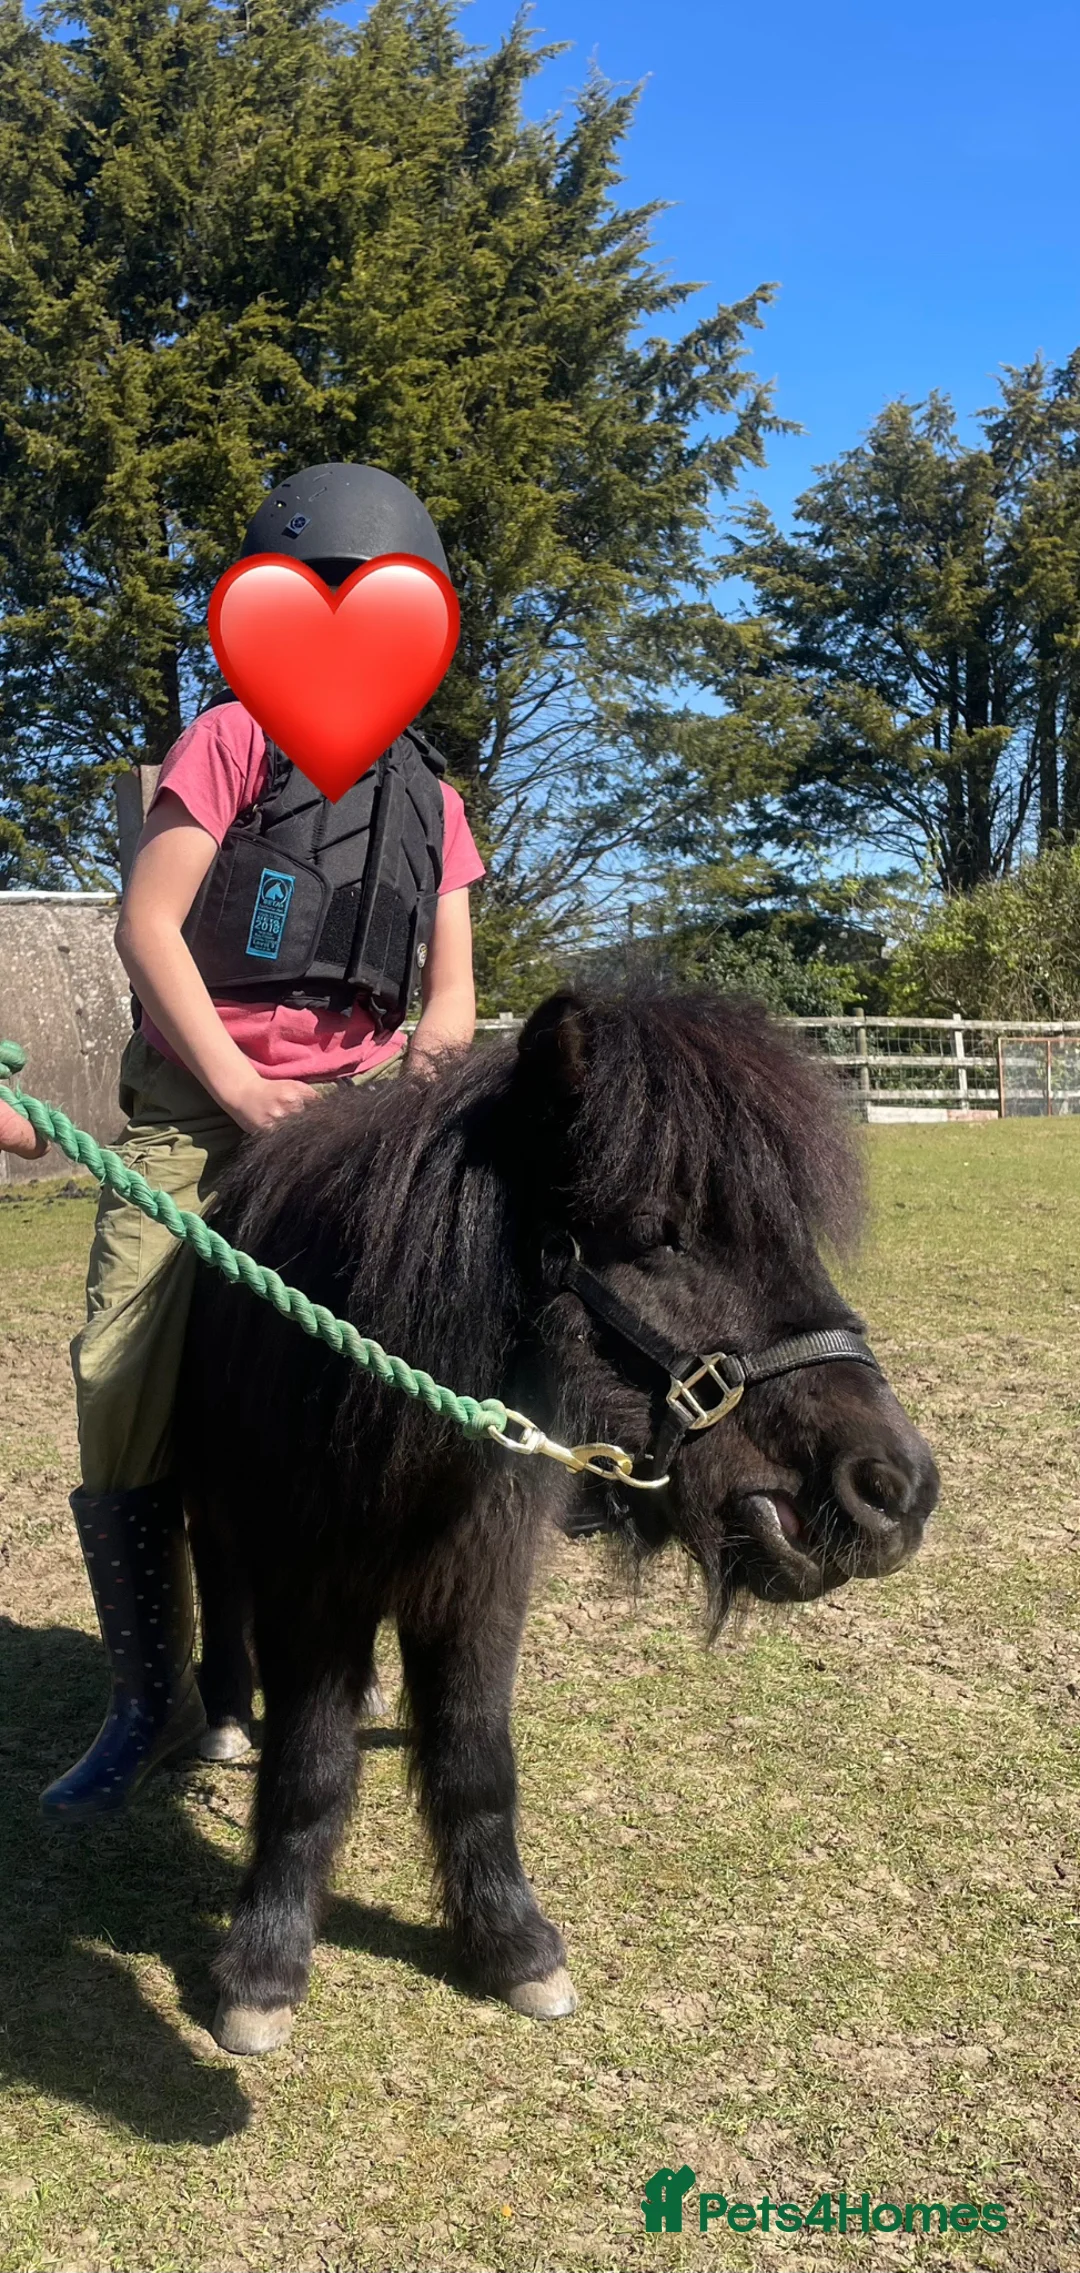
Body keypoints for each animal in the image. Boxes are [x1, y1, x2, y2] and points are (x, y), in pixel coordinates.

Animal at [179, 989, 939, 2056]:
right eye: (658, 1232)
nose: (895, 1487)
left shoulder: (482, 1580)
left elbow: (475, 1755)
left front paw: (509, 1939)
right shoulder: (311, 1589)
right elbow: (309, 1768)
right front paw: (265, 1963)